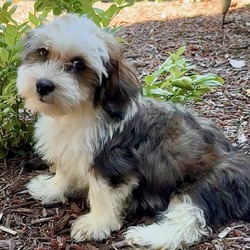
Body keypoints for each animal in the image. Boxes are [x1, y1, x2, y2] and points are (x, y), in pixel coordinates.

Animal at [16, 14, 250, 250]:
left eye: (79, 64)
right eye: (43, 52)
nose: (43, 85)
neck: (78, 112)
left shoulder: (112, 162)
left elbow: (101, 193)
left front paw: (96, 223)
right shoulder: (70, 152)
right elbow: (64, 171)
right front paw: (51, 188)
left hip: (205, 183)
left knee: (187, 219)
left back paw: (146, 236)